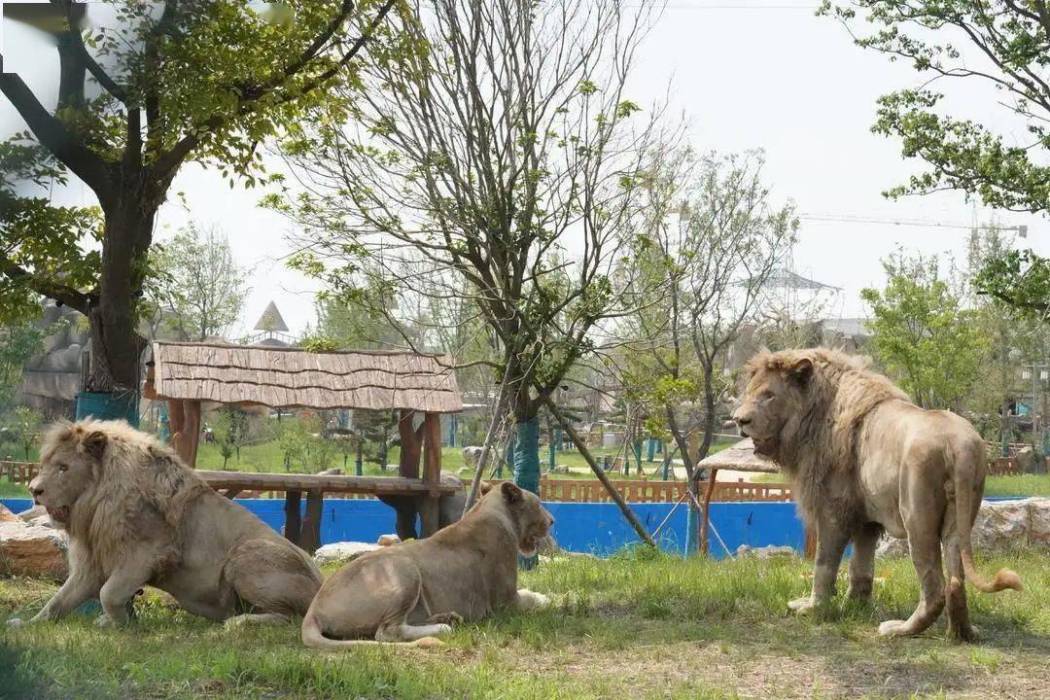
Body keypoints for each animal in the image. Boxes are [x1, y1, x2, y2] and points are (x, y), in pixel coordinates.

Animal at [11, 419, 319, 625]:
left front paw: (120, 625)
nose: (33, 490)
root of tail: (320, 585)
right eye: (45, 465)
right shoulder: (92, 561)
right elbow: (59, 601)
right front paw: (27, 624)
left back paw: (237, 624)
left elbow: (108, 594)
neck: (94, 506)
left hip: (247, 553)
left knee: (290, 617)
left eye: (63, 468)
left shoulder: (145, 555)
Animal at [300, 484, 554, 650]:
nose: (552, 520)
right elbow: (533, 598)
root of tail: (313, 609)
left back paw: (449, 618)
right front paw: (551, 599)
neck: (492, 511)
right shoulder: (506, 601)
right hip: (404, 568)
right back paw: (444, 627)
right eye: (539, 504)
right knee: (387, 632)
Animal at [734, 348, 1020, 642]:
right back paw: (961, 633)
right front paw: (854, 606)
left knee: (934, 587)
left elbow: (824, 565)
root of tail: (959, 445)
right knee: (954, 580)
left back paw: (899, 629)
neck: (814, 415)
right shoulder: (867, 520)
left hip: (917, 516)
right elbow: (860, 569)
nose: (738, 420)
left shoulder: (833, 510)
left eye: (769, 394)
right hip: (959, 518)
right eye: (750, 391)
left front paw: (813, 608)